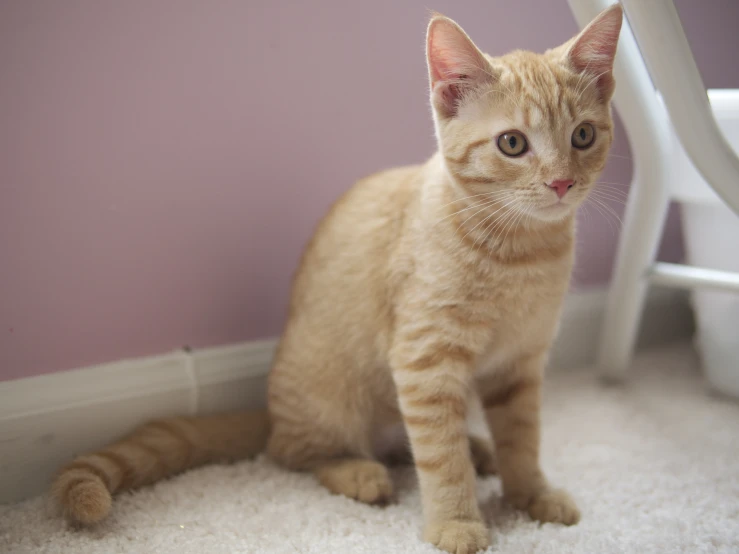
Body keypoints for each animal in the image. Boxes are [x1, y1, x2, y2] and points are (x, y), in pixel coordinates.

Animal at [49, 5, 620, 552]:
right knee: (292, 453)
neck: (522, 252)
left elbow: (522, 438)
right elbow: (440, 455)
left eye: (583, 135)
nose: (561, 182)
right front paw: (456, 522)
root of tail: (270, 410)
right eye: (512, 143)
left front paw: (531, 495)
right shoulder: (424, 361)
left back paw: (478, 450)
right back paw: (359, 472)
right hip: (331, 402)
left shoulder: (521, 362)